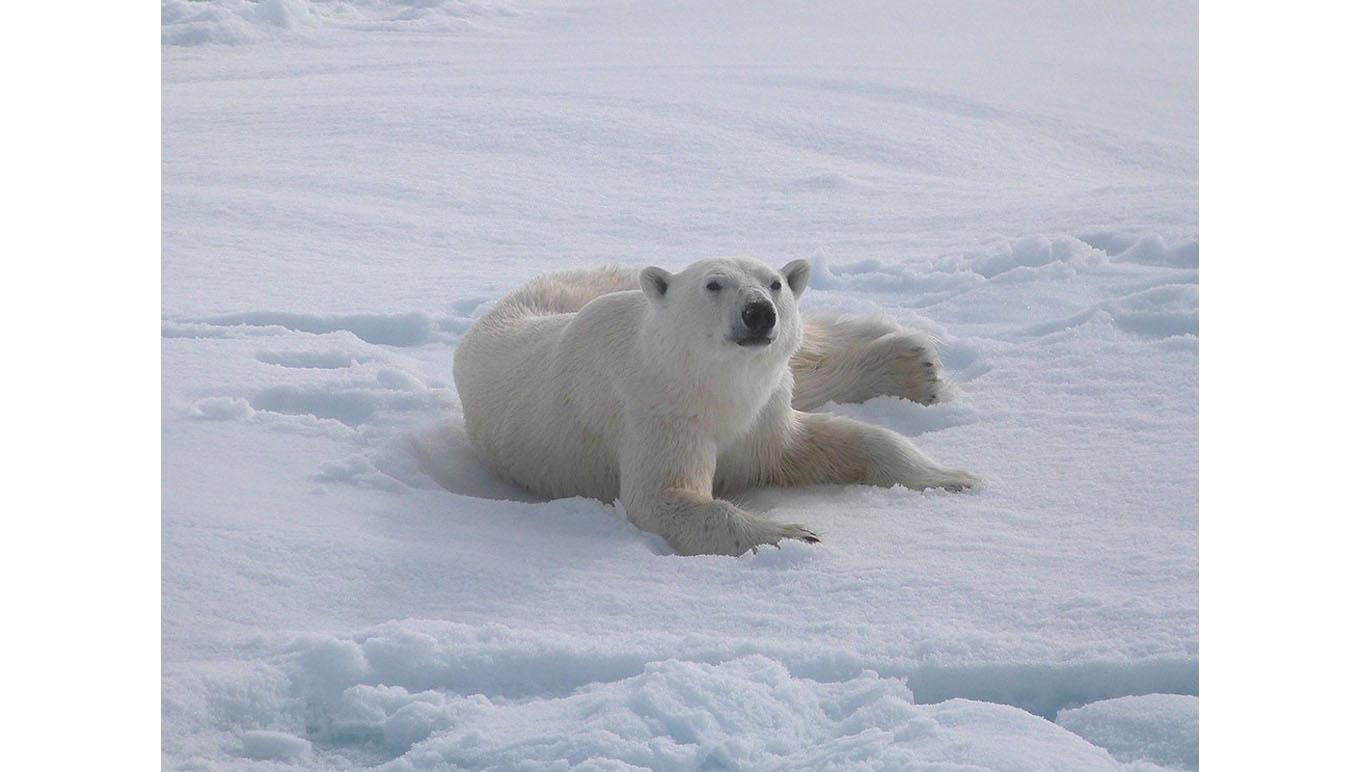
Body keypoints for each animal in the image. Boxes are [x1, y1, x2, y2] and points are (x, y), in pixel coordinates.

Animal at [455, 259, 982, 556]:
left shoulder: (763, 410)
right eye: (713, 284)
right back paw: (914, 361)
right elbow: (664, 497)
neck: (712, 386)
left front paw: (953, 477)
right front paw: (795, 533)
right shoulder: (657, 410)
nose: (758, 313)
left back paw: (911, 354)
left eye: (774, 283)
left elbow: (832, 441)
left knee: (810, 342)